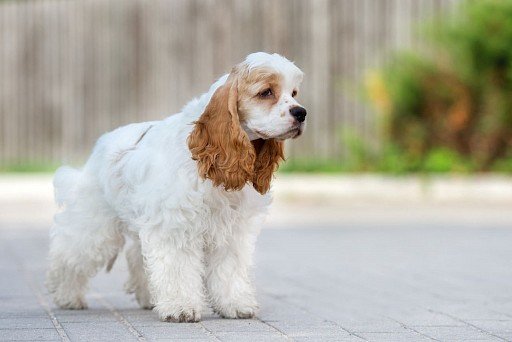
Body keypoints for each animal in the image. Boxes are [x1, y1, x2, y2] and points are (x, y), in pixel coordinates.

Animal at [46, 51, 306, 324]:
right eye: (266, 92)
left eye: (294, 92)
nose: (301, 113)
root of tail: (102, 143)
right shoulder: (174, 225)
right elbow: (178, 268)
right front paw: (181, 307)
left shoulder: (231, 230)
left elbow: (229, 269)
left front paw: (234, 304)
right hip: (96, 225)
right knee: (69, 255)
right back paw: (68, 296)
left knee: (136, 257)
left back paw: (149, 298)